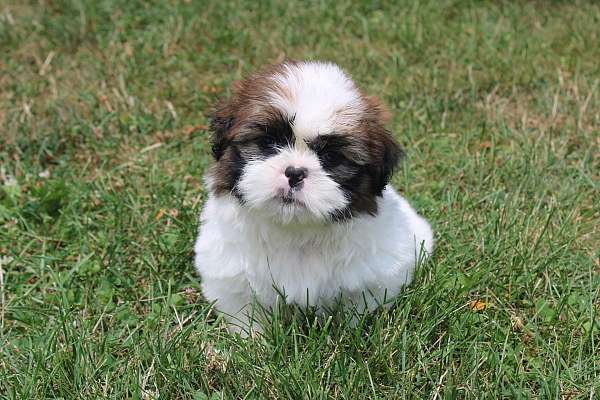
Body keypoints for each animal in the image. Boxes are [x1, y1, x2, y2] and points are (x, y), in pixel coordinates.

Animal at [195, 60, 434, 334]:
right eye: (268, 142)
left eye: (330, 157)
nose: (295, 172)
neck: (294, 231)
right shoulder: (231, 278)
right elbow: (245, 313)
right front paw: (252, 338)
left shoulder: (372, 281)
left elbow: (356, 310)